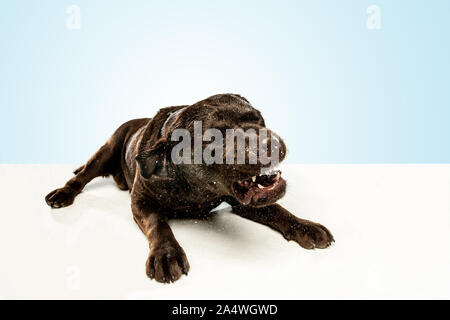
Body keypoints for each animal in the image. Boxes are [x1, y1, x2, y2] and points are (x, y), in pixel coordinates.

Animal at [45, 94, 334, 284]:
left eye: (258, 118)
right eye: (214, 139)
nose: (267, 142)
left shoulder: (241, 201)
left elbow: (277, 210)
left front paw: (304, 226)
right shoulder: (141, 202)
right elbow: (158, 224)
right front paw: (166, 254)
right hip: (107, 149)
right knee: (82, 176)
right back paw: (62, 193)